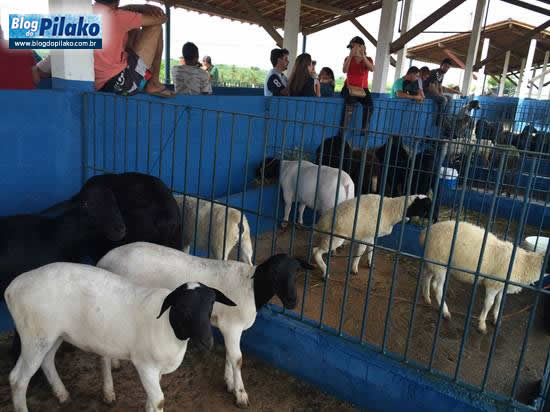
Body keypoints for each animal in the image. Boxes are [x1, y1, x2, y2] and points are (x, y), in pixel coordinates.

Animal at [5, 262, 236, 412]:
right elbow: (159, 401)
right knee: (17, 379)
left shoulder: (156, 369)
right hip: (34, 336)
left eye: (210, 306)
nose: (208, 342)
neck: (167, 328)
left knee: (46, 361)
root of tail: (12, 288)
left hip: (52, 335)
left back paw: (62, 395)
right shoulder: (144, 365)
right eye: (183, 309)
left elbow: (151, 400)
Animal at [97, 243, 315, 408]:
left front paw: (229, 382)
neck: (251, 288)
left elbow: (229, 354)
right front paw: (241, 394)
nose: (292, 301)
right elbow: (237, 359)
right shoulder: (232, 326)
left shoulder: (228, 327)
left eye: (296, 271)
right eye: (274, 273)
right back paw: (109, 392)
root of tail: (105, 258)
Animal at [419, 220, 548, 333]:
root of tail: (427, 231)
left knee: (426, 276)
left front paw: (496, 319)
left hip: (433, 261)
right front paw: (482, 325)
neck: (525, 264)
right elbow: (489, 303)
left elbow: (499, 302)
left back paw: (427, 297)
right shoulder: (493, 284)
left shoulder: (502, 286)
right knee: (437, 287)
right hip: (440, 263)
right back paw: (445, 312)